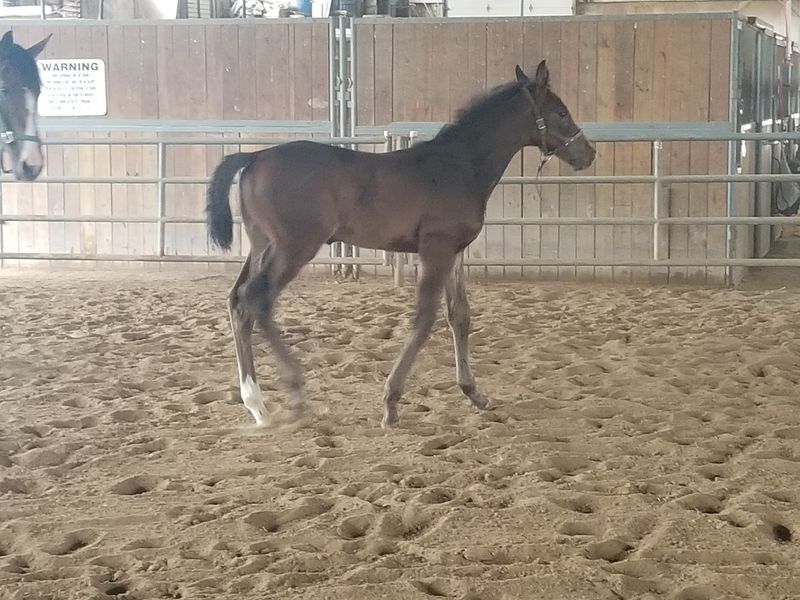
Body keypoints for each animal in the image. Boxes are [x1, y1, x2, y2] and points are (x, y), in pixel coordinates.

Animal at [206, 60, 596, 430]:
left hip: (262, 246)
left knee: (238, 302)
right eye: (561, 112)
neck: (460, 165)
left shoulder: (454, 251)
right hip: (294, 248)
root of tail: (254, 157)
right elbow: (424, 318)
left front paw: (474, 393)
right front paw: (391, 404)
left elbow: (460, 315)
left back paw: (257, 405)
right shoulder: (436, 248)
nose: (588, 153)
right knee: (258, 299)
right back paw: (296, 393)